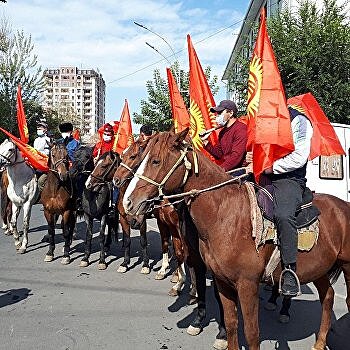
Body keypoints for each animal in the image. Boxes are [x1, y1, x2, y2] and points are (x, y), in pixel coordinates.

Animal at [121, 130, 350, 350]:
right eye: (140, 157)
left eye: (155, 161)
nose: (128, 202)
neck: (225, 215)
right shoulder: (222, 281)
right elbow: (231, 324)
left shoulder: (247, 285)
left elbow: (251, 334)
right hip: (320, 268)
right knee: (328, 296)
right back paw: (319, 343)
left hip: (346, 267)